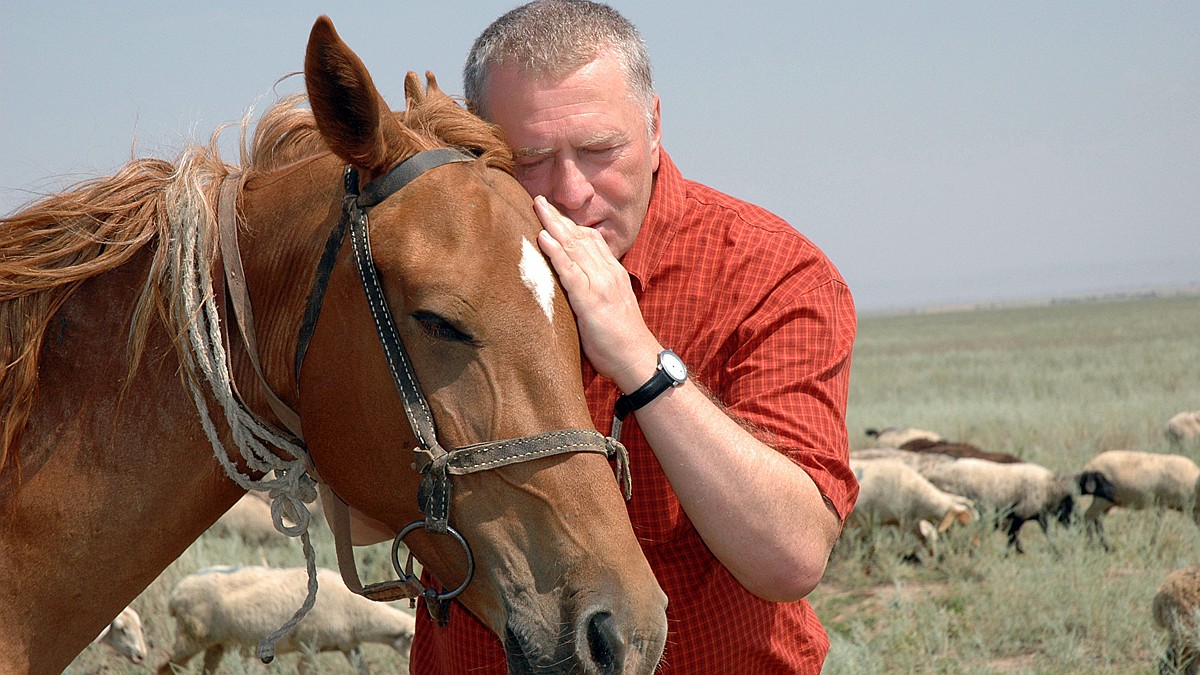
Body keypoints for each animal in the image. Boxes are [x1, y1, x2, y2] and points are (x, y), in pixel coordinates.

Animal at [162, 562, 417, 672]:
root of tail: (175, 595)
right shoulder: (309, 646)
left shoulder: (349, 647)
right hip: (190, 638)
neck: (358, 613)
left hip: (216, 644)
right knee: (167, 667)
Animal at [926, 456, 1113, 552]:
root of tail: (933, 474)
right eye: (1101, 479)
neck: (1052, 485)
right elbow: (1017, 535)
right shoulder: (1022, 513)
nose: (1113, 493)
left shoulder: (1046, 512)